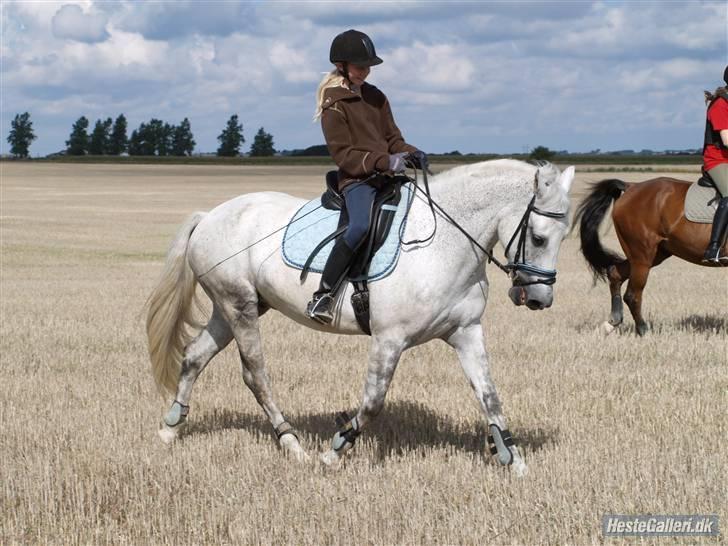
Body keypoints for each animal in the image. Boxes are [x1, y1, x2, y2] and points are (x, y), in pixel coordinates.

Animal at [144, 158, 576, 476]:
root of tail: (209, 215)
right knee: (255, 374)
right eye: (538, 237)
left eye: (563, 236)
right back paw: (292, 443)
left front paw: (512, 457)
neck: (445, 242)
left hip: (230, 307)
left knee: (195, 355)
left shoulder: (466, 332)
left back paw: (170, 429)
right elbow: (372, 401)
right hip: (240, 306)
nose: (539, 298)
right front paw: (335, 449)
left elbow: (490, 396)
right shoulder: (389, 339)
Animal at [576, 176, 724, 334]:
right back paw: (643, 330)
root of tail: (631, 186)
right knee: (632, 295)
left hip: (652, 255)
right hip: (642, 257)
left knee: (615, 273)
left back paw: (612, 322)